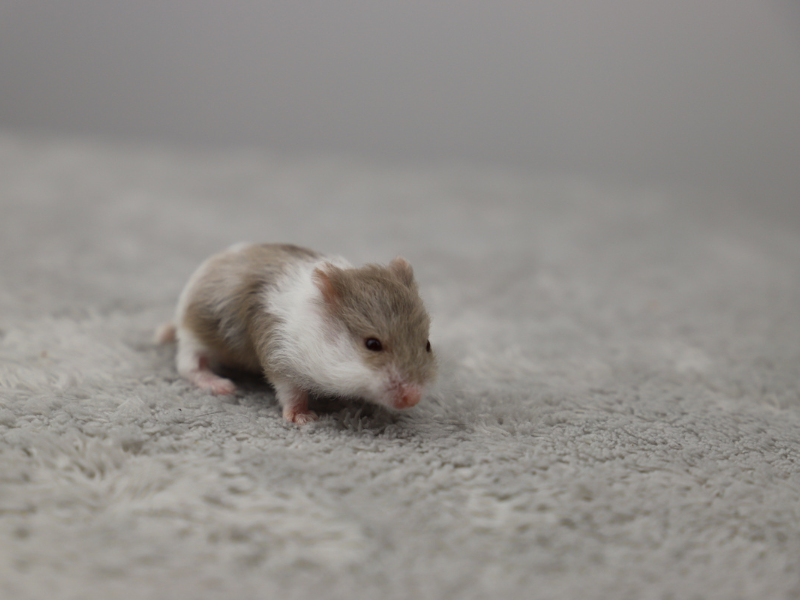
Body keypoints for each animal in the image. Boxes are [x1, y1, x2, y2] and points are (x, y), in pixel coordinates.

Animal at [156, 243, 437, 425]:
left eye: (427, 344)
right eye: (372, 344)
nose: (413, 398)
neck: (315, 330)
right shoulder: (280, 358)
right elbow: (291, 392)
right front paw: (303, 419)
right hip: (194, 335)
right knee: (188, 365)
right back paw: (221, 385)